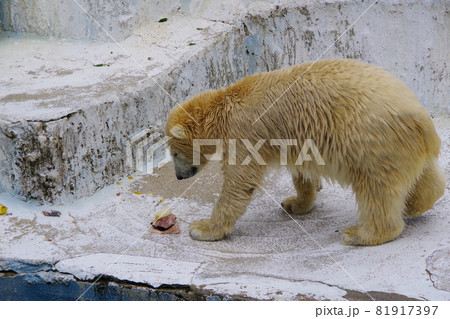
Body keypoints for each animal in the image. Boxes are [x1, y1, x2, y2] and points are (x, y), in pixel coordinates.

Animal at [164, 58, 442, 246]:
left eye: (174, 153)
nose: (178, 176)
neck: (223, 107)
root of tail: (422, 121)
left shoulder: (244, 133)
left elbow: (239, 181)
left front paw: (203, 228)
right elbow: (302, 169)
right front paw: (295, 203)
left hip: (369, 142)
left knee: (376, 188)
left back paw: (359, 233)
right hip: (398, 145)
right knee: (422, 177)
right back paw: (416, 204)